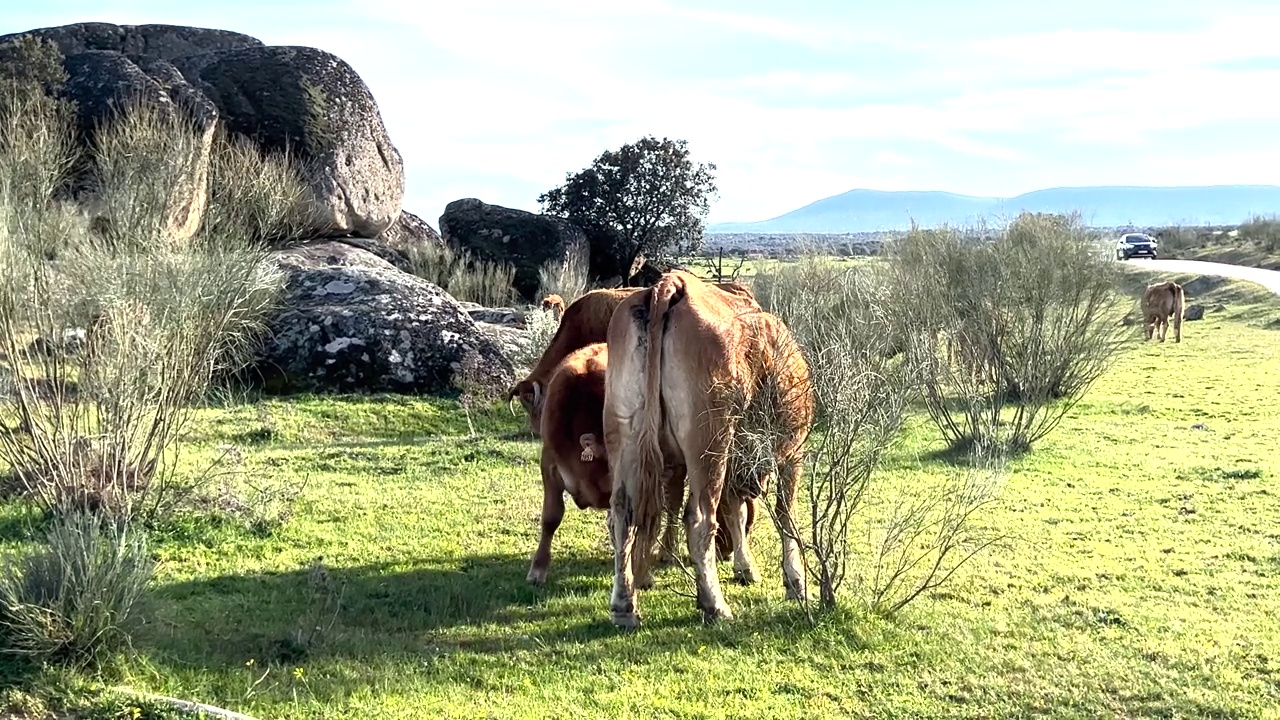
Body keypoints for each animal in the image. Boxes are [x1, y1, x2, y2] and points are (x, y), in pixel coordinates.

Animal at [601, 269, 819, 622]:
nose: (727, 553)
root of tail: (671, 285)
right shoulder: (792, 451)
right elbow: (785, 514)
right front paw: (795, 582)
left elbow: (734, 509)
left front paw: (745, 565)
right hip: (710, 442)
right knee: (701, 518)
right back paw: (714, 604)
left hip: (625, 437)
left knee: (622, 514)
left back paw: (624, 605)